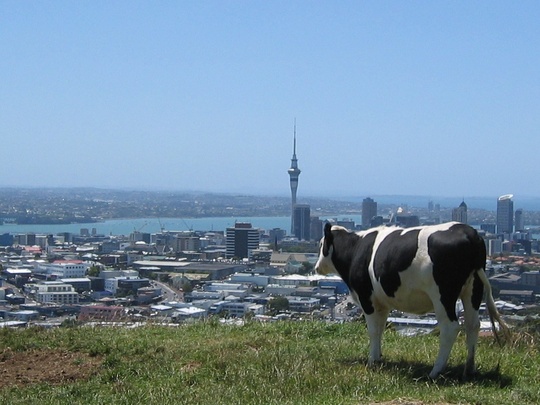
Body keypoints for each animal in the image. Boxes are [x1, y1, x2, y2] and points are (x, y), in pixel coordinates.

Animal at [314, 219, 508, 378]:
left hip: (443, 294)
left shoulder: (366, 297)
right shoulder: (382, 303)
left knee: (450, 328)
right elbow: (381, 329)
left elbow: (373, 330)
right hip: (473, 289)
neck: (355, 249)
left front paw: (371, 361)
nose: (316, 267)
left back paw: (435, 372)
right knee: (472, 325)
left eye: (321, 244)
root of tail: (469, 233)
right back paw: (469, 368)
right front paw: (378, 359)